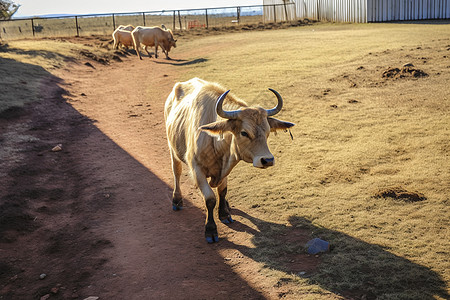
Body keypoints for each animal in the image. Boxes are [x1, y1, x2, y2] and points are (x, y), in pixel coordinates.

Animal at [163, 78, 294, 244]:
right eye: (244, 133)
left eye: (267, 131)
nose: (267, 160)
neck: (215, 142)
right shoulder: (197, 169)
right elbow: (210, 199)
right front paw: (211, 230)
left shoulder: (225, 168)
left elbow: (222, 191)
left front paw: (224, 213)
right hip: (172, 150)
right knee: (177, 172)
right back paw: (177, 200)